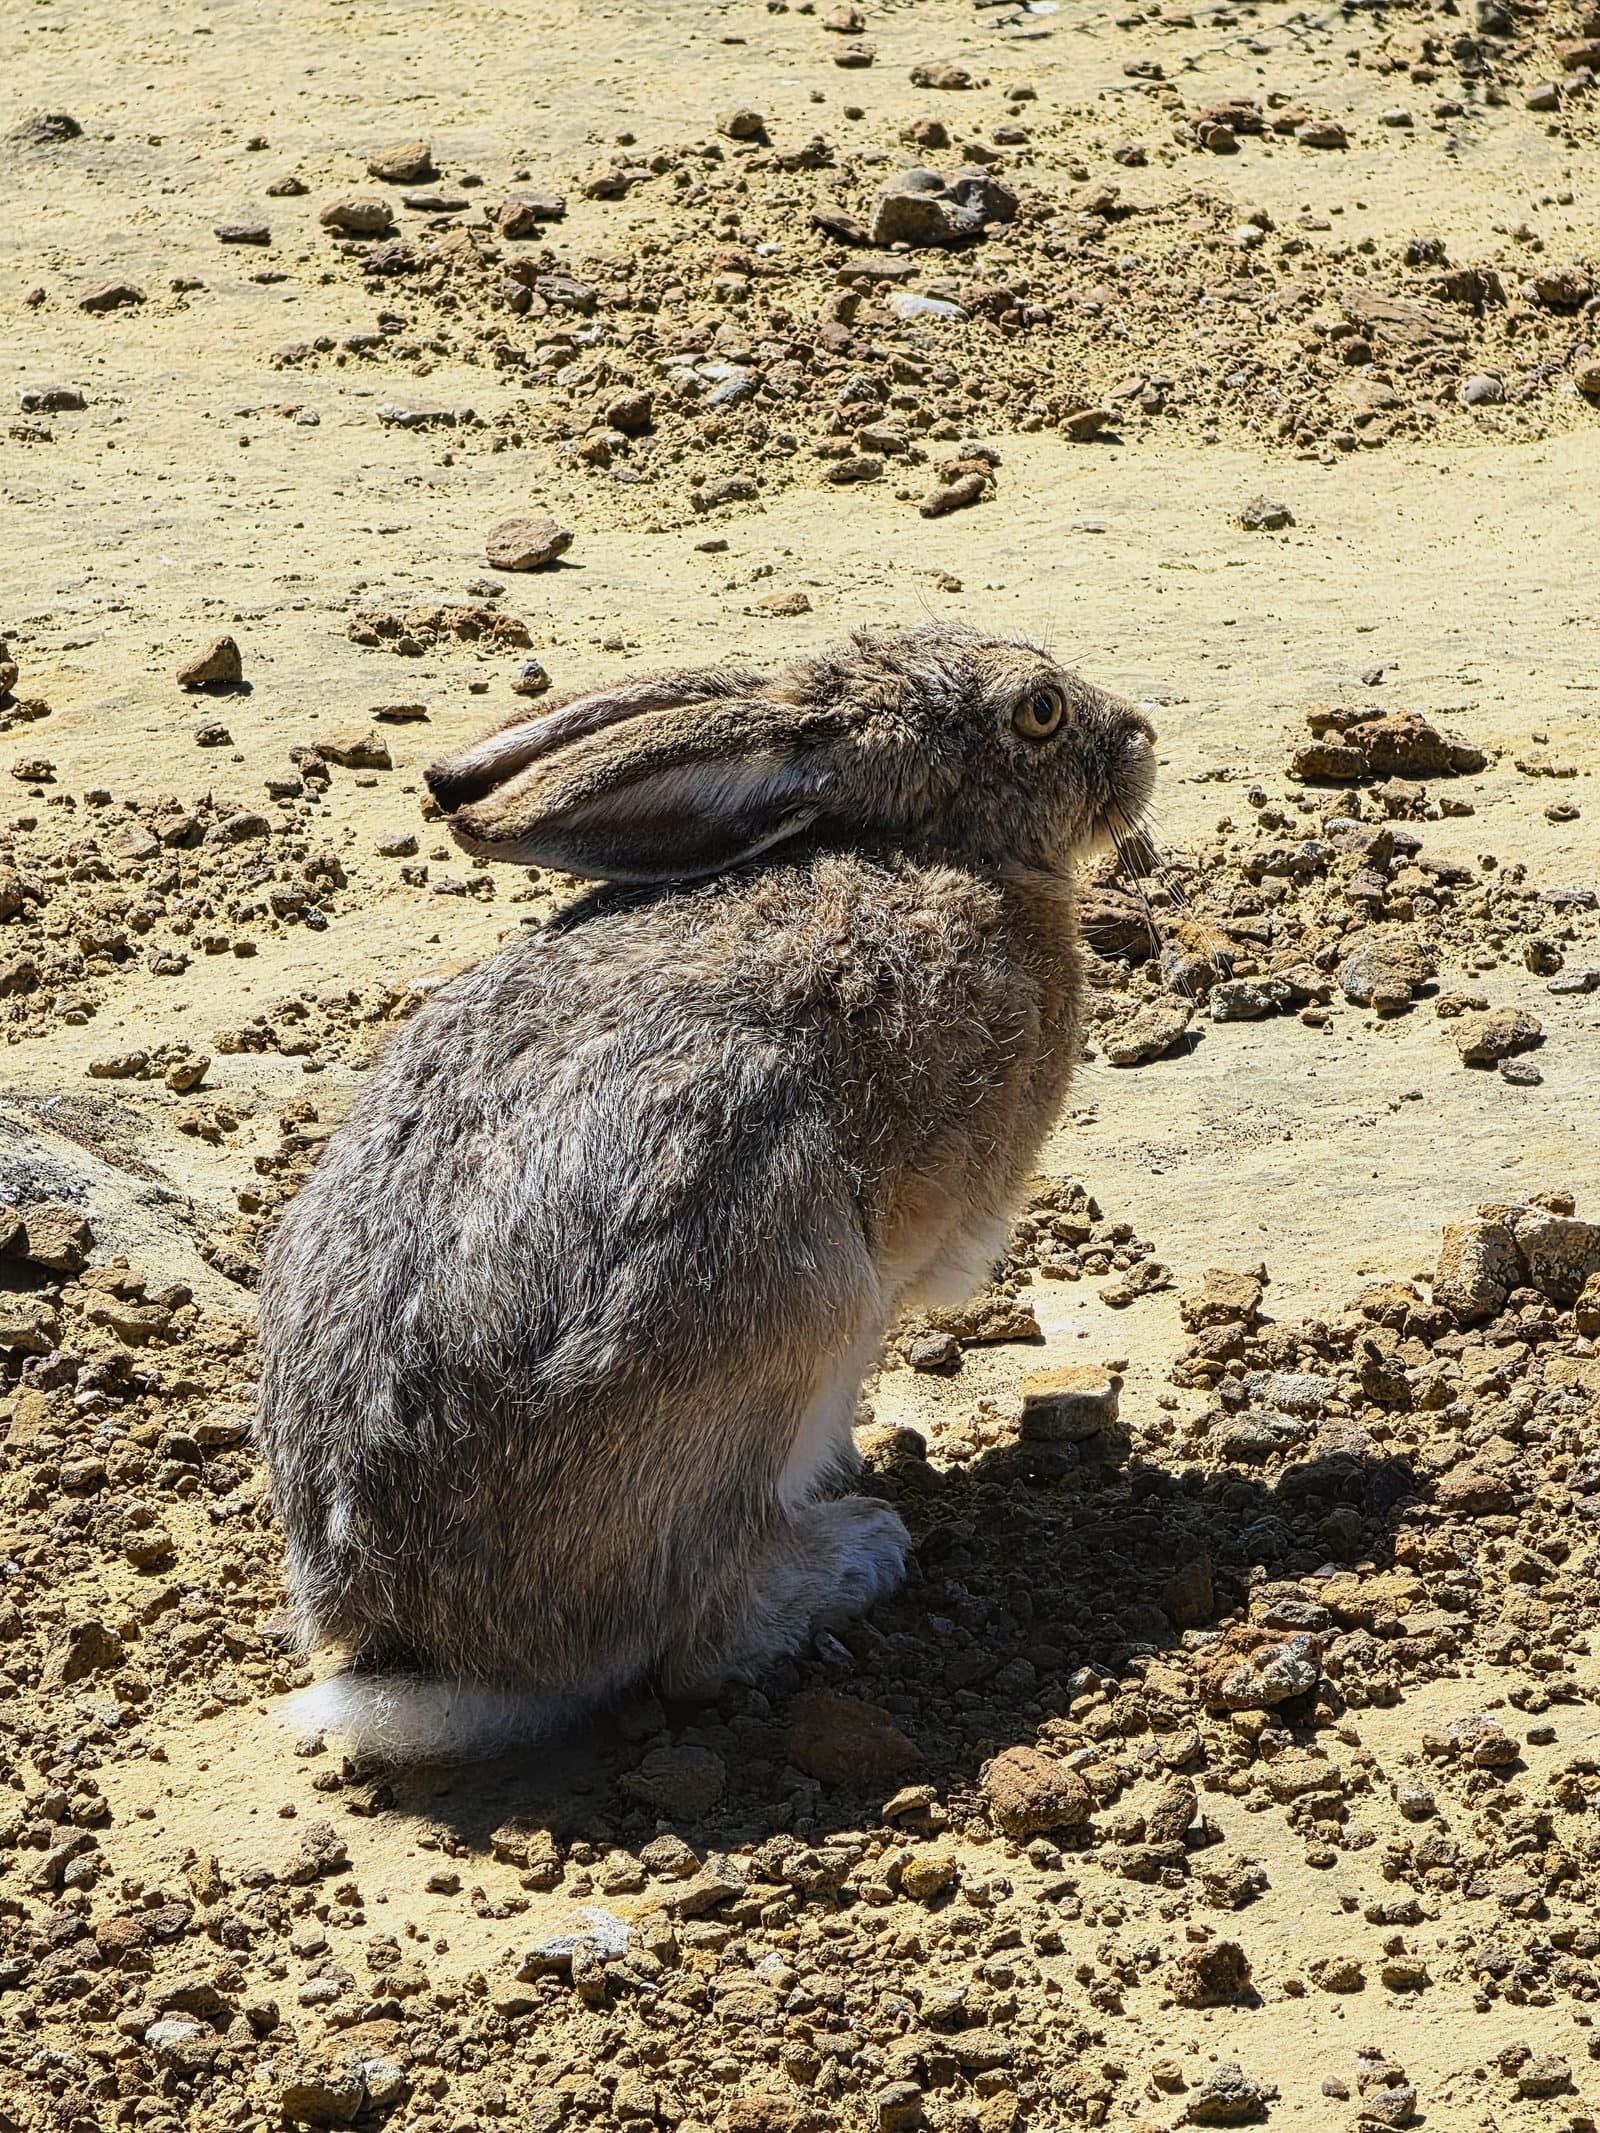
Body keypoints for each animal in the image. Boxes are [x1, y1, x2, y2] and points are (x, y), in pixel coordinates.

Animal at [255, 622, 1156, 1760]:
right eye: (1038, 710)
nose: (1142, 735)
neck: (942, 848)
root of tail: (421, 1649)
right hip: (789, 1308)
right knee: (695, 1643)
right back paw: (860, 1548)